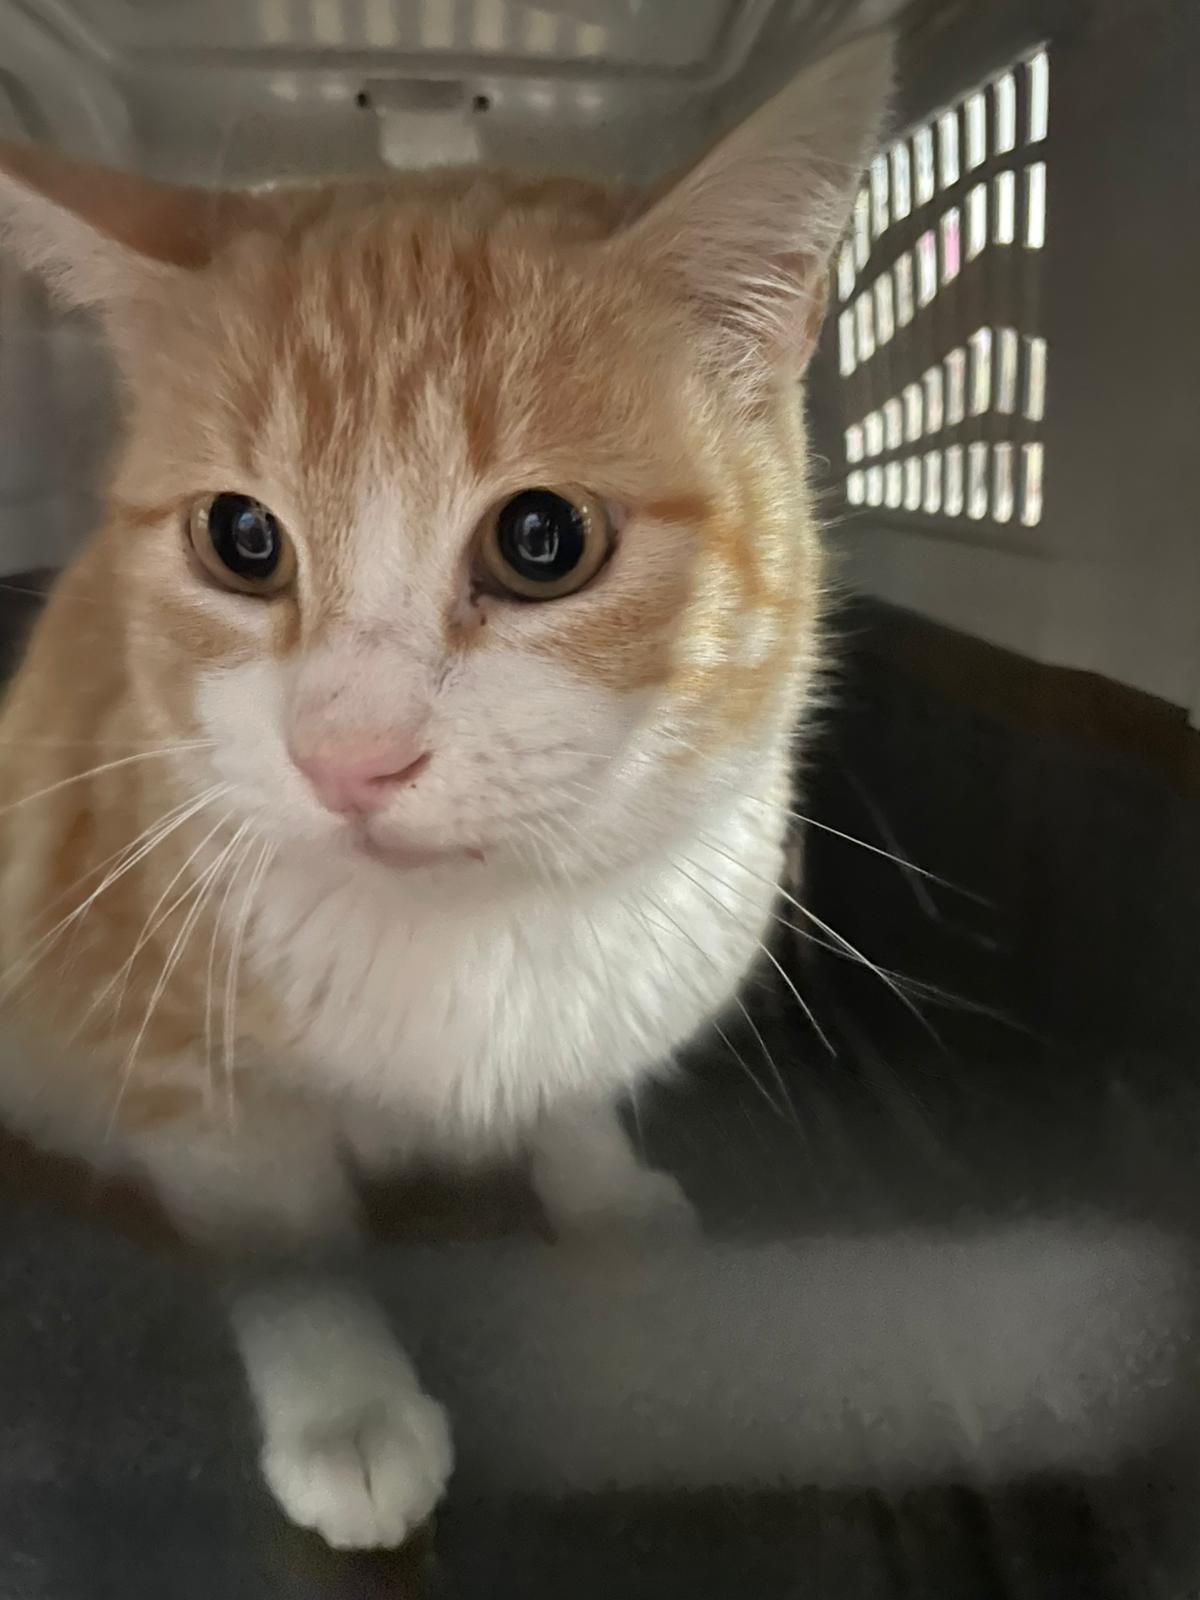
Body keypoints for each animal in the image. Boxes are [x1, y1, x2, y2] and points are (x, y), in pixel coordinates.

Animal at [0, 34, 888, 1549]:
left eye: (544, 538)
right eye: (241, 539)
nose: (349, 755)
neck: (474, 939)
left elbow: (576, 1098)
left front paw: (604, 1194)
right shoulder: (165, 1054)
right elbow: (285, 1241)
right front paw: (346, 1407)